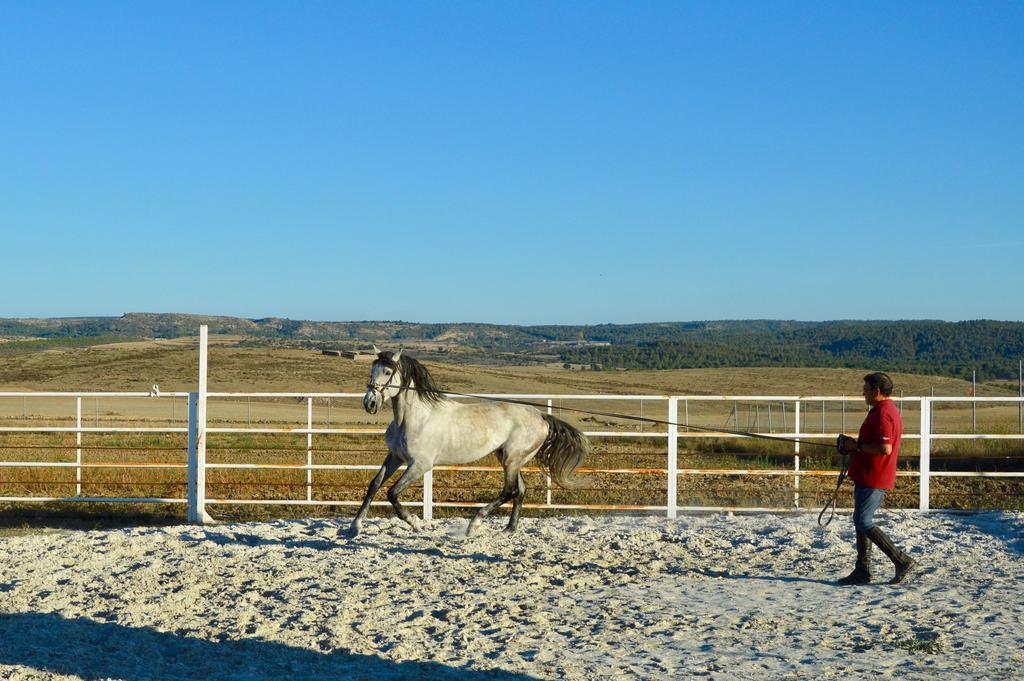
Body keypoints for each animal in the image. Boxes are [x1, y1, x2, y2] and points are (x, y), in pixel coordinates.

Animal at [348, 348, 589, 532]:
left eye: (388, 371)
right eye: (372, 369)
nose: (369, 403)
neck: (414, 417)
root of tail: (541, 416)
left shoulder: (420, 465)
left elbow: (392, 492)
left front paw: (415, 523)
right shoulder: (395, 457)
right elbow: (375, 485)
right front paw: (354, 527)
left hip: (511, 459)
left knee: (510, 491)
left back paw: (474, 524)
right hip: (511, 459)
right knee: (520, 490)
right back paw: (509, 529)